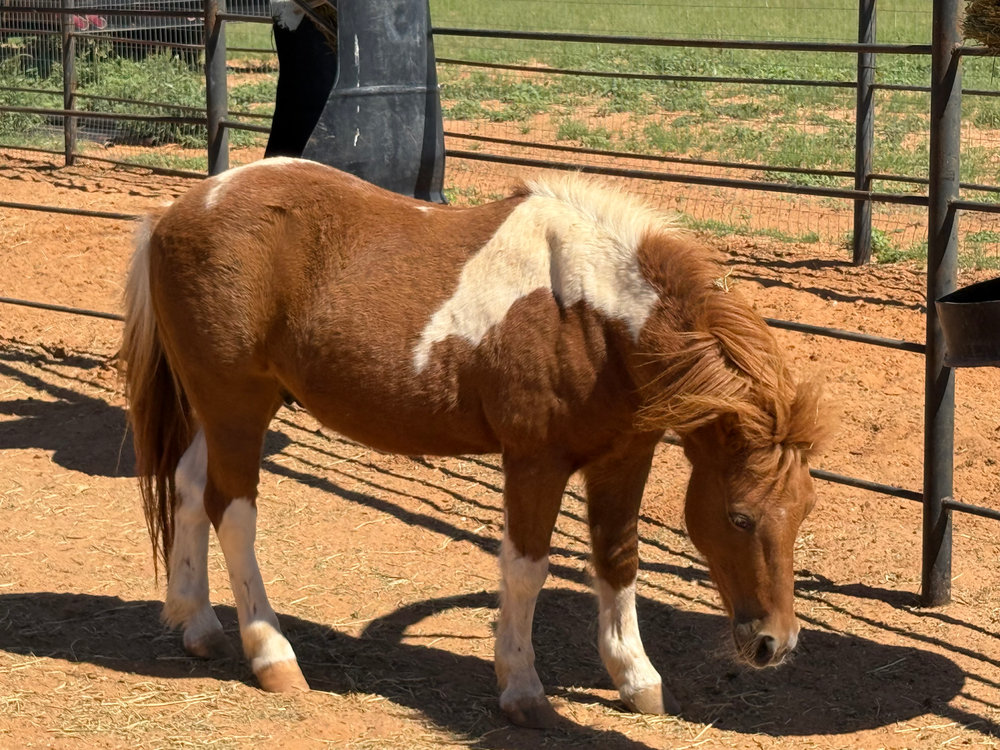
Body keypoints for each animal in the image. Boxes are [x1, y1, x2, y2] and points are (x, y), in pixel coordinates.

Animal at [120, 157, 828, 728]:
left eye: (803, 514)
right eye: (739, 517)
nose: (776, 645)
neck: (592, 319)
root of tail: (175, 212)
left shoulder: (624, 458)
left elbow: (618, 561)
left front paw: (637, 679)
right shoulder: (536, 462)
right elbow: (526, 569)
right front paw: (522, 691)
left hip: (223, 410)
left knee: (189, 490)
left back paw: (198, 626)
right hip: (236, 406)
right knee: (232, 512)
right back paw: (272, 656)